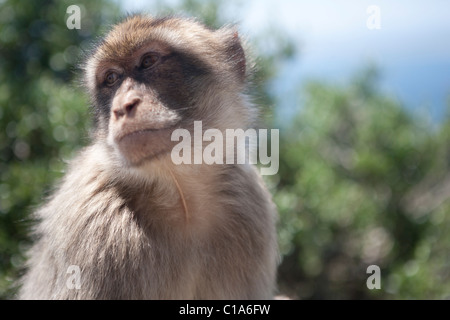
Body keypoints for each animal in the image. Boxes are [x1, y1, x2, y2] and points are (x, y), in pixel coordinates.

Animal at [18, 14, 278, 300]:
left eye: (148, 61)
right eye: (111, 78)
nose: (122, 107)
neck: (181, 197)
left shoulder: (251, 208)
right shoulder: (93, 225)